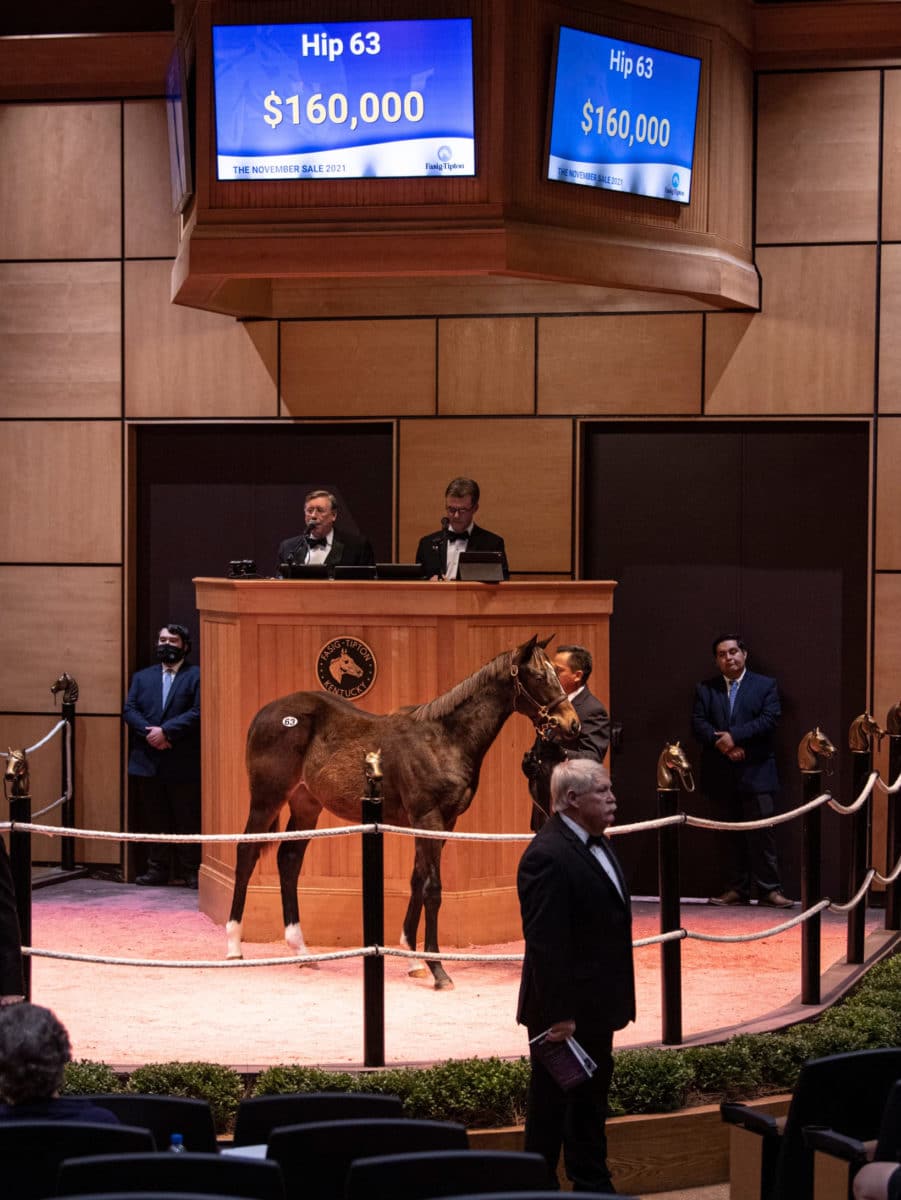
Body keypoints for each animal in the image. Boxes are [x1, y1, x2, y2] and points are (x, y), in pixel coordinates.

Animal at [224, 633, 578, 988]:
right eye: (539, 675)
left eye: (556, 672)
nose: (571, 723)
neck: (443, 740)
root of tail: (266, 713)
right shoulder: (428, 818)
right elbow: (432, 889)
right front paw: (438, 969)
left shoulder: (444, 822)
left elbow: (417, 879)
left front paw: (413, 958)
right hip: (267, 799)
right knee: (246, 853)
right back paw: (234, 948)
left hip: (306, 804)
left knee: (289, 860)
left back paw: (301, 950)